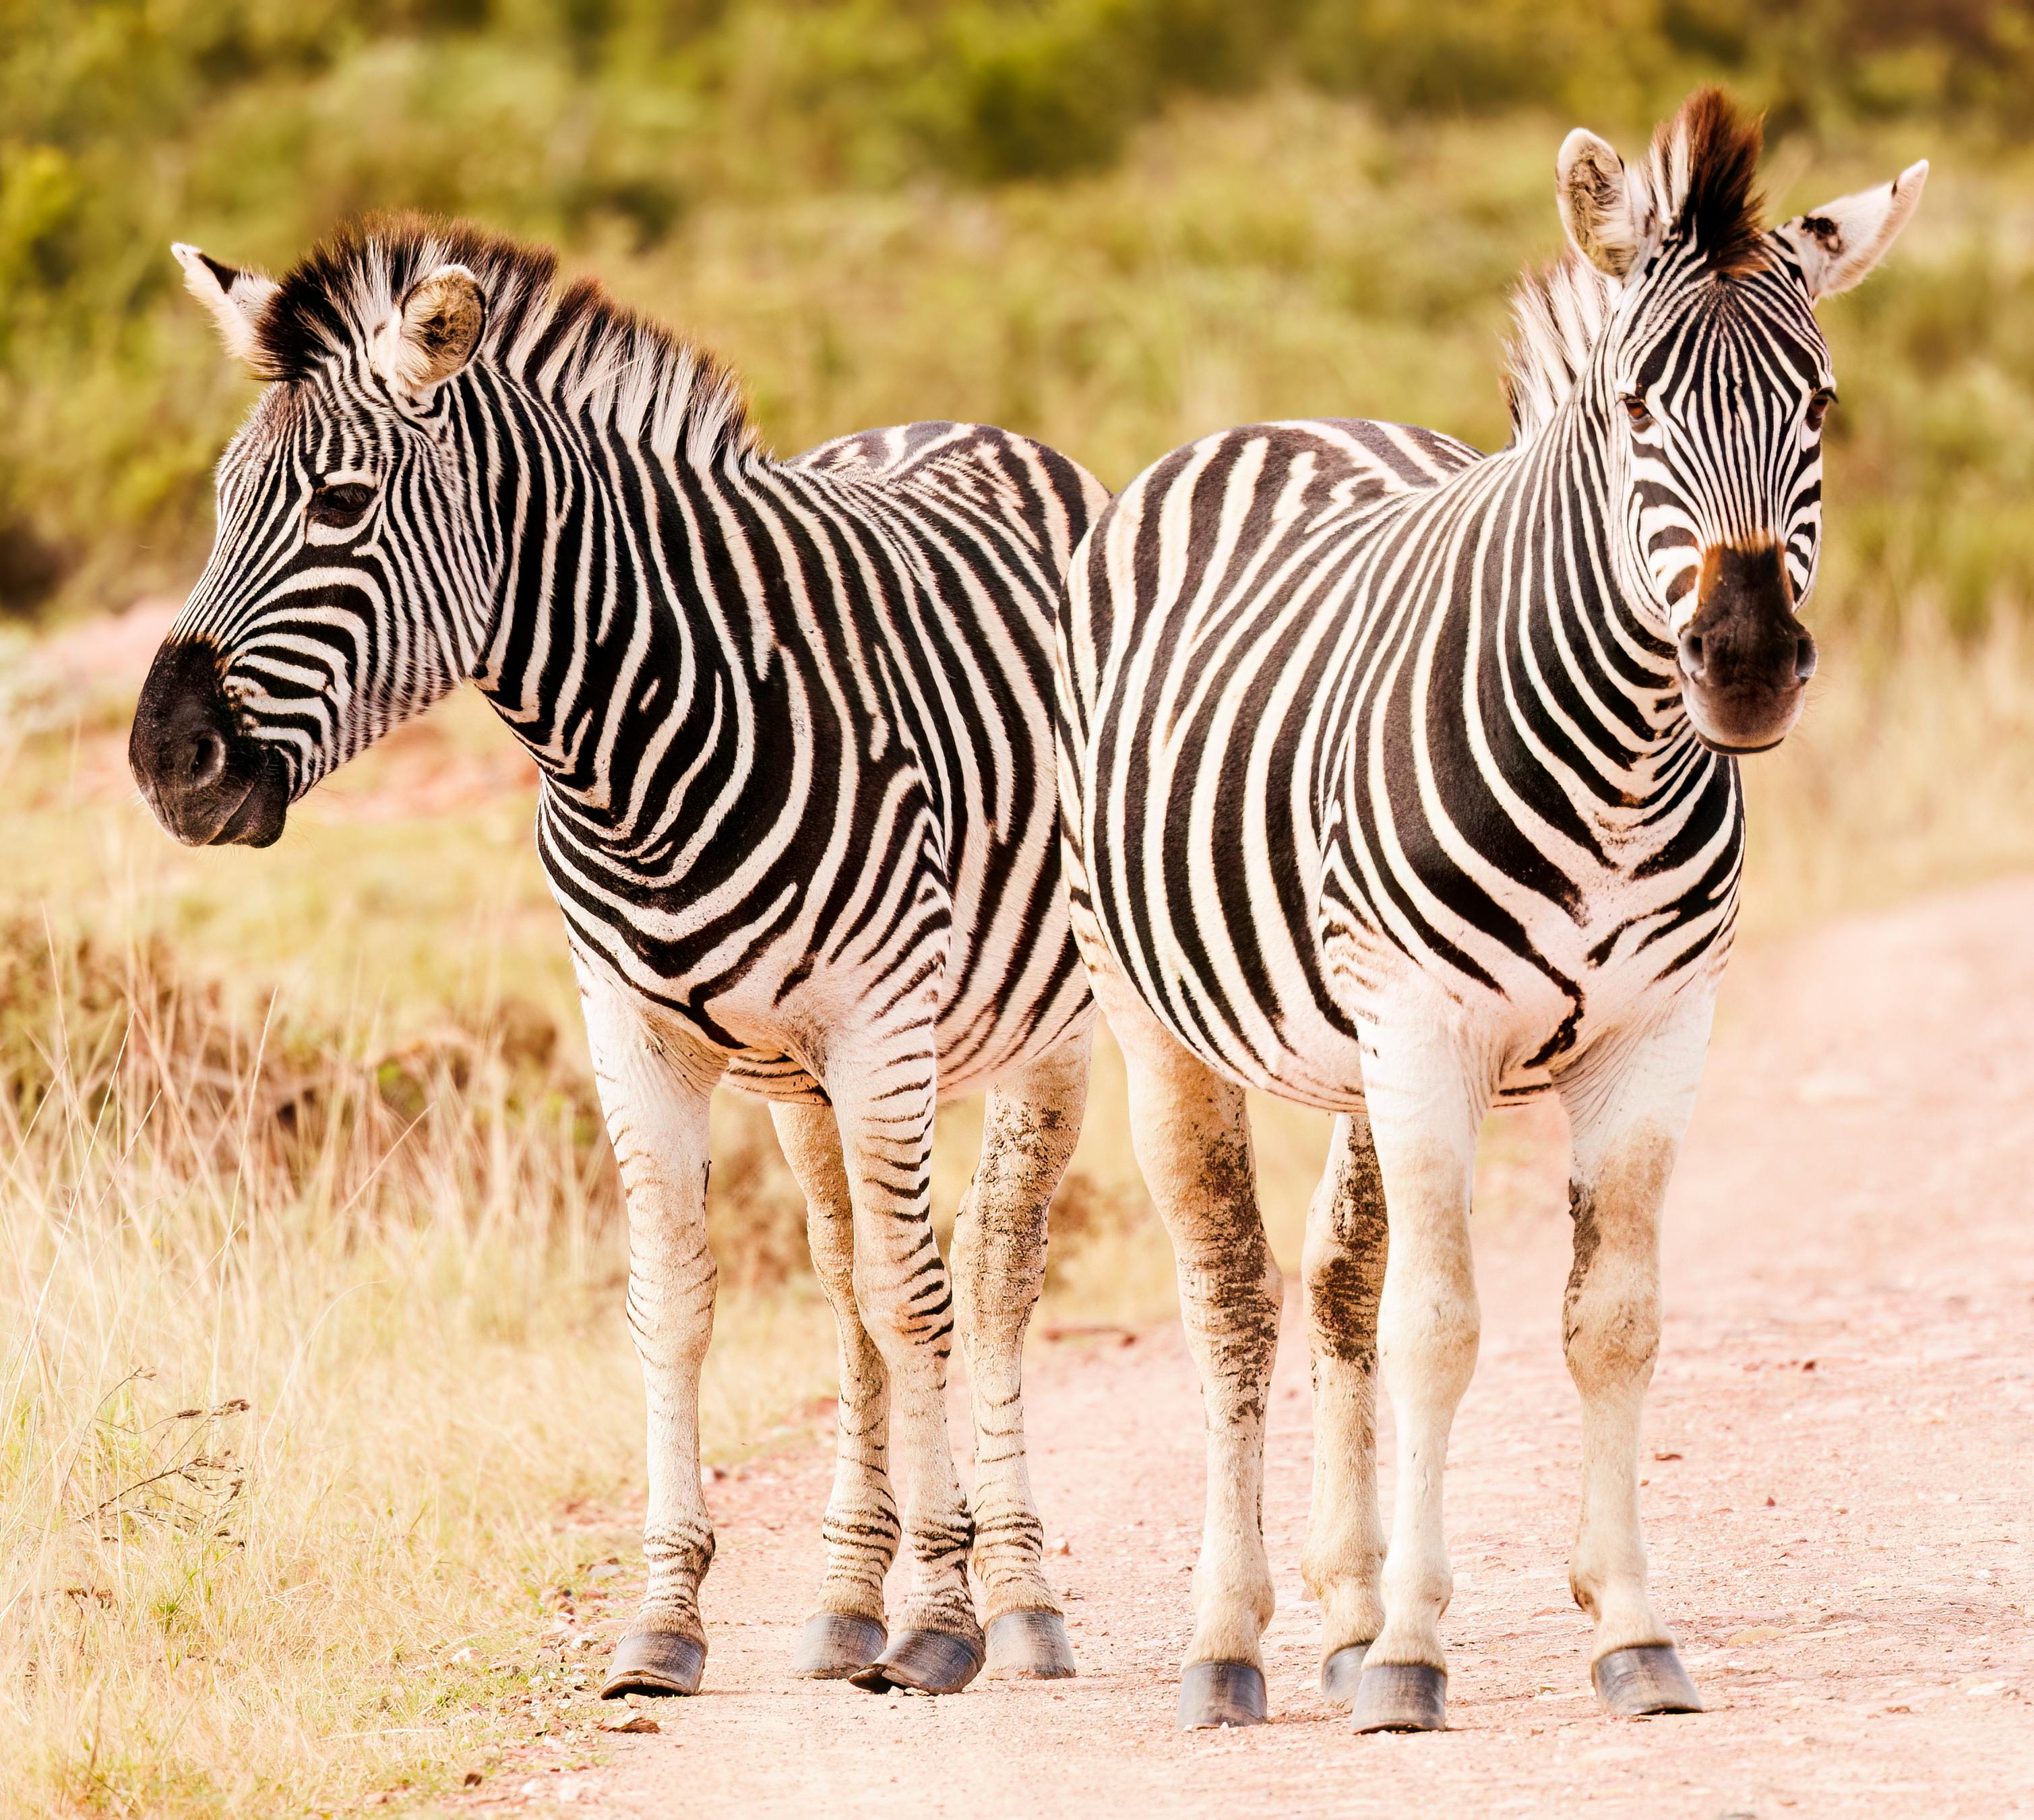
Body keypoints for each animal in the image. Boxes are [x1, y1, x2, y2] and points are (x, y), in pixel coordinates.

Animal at [129, 217, 1109, 1701]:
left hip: (1039, 1031)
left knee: (983, 1272)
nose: (163, 763)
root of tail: (972, 426)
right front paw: (668, 1617)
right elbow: (681, 1304)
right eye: (224, 500)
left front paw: (943, 1617)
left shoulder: (881, 1025)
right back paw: (842, 1602)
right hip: (797, 1080)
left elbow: (916, 1299)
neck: (637, 747)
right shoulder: (633, 1033)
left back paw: (1022, 1599)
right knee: (843, 1275)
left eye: (342, 505)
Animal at [1055, 90, 1925, 1732]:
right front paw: (1412, 1655)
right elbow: (1440, 1328)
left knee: (1336, 1281)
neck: (1625, 764)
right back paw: (1230, 1640)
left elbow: (1610, 1320)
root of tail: (1280, 424)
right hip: (1166, 1021)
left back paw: (1336, 1610)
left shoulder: (1657, 1035)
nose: (1745, 665)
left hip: (1349, 1049)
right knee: (1234, 1298)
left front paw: (1626, 1629)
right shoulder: (1425, 1019)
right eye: (1636, 408)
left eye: (1823, 406)